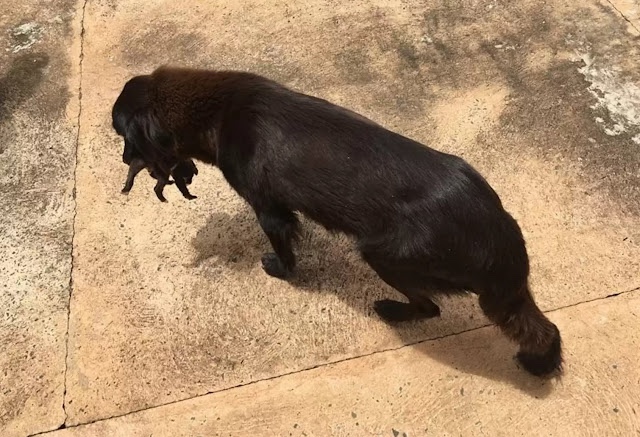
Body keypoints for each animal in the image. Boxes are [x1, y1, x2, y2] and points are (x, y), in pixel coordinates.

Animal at [112, 66, 564, 376]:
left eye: (122, 135)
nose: (123, 162)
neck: (219, 111)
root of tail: (501, 238)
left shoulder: (269, 209)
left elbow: (284, 250)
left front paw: (280, 270)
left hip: (387, 256)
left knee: (430, 307)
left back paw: (390, 310)